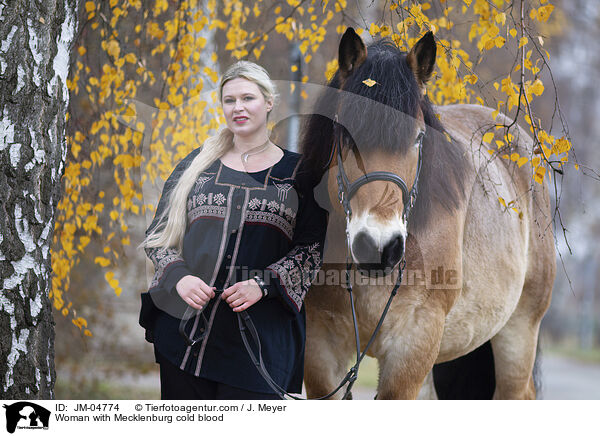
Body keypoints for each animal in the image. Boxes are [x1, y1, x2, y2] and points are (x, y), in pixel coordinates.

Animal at [298, 29, 556, 400]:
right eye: (345, 134)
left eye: (419, 137)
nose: (379, 247)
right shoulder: (320, 348)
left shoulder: (414, 343)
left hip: (519, 333)